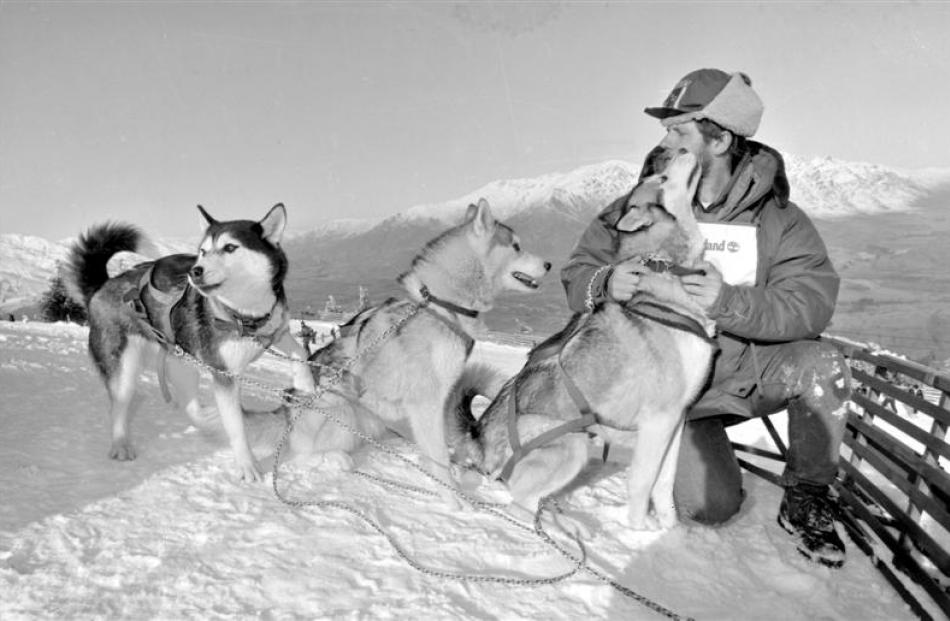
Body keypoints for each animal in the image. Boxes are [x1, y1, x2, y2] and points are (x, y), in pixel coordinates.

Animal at [64, 206, 316, 482]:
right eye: (203, 251)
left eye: (230, 247)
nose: (195, 271)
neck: (245, 314)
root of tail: (102, 287)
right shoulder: (225, 374)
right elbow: (237, 428)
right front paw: (247, 465)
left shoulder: (277, 332)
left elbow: (300, 351)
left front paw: (306, 385)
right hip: (124, 369)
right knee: (119, 406)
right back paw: (121, 444)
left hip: (183, 365)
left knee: (192, 407)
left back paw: (209, 418)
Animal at [296, 199, 552, 504]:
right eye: (516, 246)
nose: (549, 264)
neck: (443, 307)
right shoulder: (426, 401)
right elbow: (439, 456)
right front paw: (453, 499)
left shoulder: (437, 400)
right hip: (340, 408)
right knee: (301, 453)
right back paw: (334, 459)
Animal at [446, 151, 712, 528]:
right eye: (661, 178)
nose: (683, 151)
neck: (666, 267)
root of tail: (479, 440)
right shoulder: (657, 420)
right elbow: (643, 482)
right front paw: (637, 531)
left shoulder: (677, 418)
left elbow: (664, 484)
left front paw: (669, 530)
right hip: (570, 445)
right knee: (518, 502)